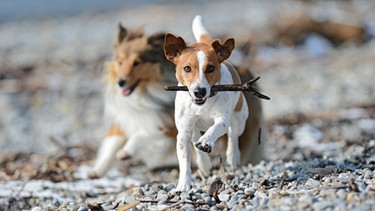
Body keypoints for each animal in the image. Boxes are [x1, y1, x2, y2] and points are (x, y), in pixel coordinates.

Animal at [164, 15, 250, 192]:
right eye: (187, 68)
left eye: (210, 68)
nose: (200, 91)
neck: (202, 105)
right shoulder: (183, 131)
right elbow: (185, 160)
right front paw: (183, 185)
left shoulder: (222, 119)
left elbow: (215, 129)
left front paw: (206, 141)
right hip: (193, 126)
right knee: (195, 137)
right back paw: (204, 164)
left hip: (240, 117)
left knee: (233, 136)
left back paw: (233, 157)